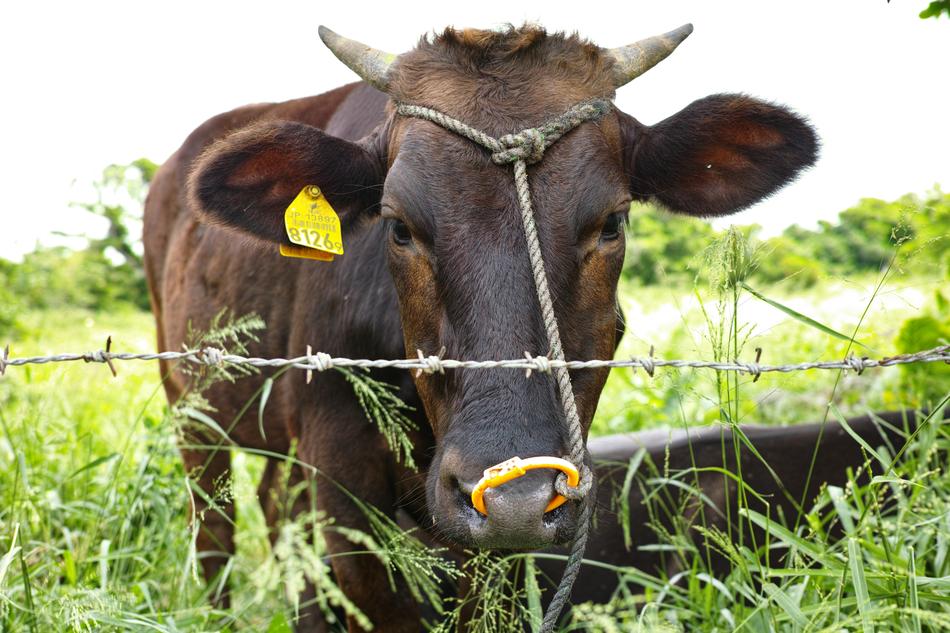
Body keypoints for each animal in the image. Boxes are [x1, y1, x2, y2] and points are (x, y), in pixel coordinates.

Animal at [143, 24, 818, 631]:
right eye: (397, 226)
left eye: (612, 222)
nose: (514, 497)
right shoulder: (341, 469)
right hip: (192, 407)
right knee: (216, 528)